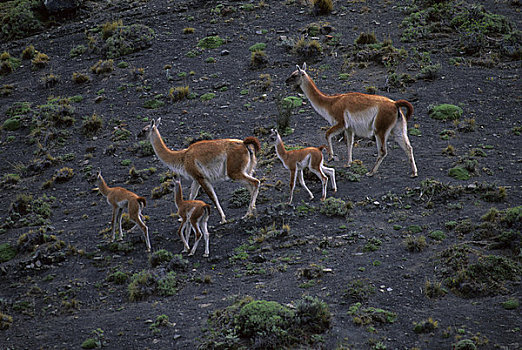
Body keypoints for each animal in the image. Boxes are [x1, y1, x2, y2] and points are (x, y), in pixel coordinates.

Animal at [282, 63, 416, 176]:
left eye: (294, 75)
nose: (286, 81)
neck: (331, 103)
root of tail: (395, 104)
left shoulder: (341, 121)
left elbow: (327, 134)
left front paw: (331, 156)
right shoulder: (349, 128)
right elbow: (349, 143)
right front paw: (348, 163)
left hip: (380, 127)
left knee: (383, 151)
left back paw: (371, 172)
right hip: (398, 127)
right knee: (408, 147)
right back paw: (414, 172)